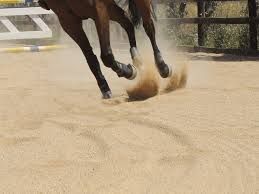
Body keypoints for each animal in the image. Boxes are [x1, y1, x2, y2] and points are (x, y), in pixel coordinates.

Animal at [39, 0, 173, 98]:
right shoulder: (67, 20)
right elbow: (91, 58)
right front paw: (105, 87)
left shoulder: (98, 9)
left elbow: (106, 55)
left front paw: (127, 71)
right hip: (110, 8)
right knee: (127, 22)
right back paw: (137, 58)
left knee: (148, 27)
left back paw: (162, 66)